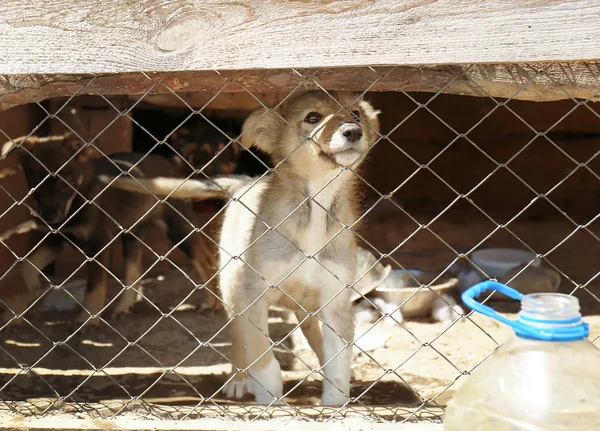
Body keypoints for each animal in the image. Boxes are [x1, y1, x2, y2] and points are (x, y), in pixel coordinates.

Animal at [0, 133, 220, 326]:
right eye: (35, 182)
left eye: (66, 182)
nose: (49, 217)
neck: (78, 200)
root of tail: (168, 164)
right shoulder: (55, 239)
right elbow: (26, 266)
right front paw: (16, 306)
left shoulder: (99, 243)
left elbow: (94, 286)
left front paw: (88, 320)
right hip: (132, 234)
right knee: (134, 271)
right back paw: (124, 306)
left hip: (179, 229)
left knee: (205, 261)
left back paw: (211, 303)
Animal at [98, 91, 380, 404]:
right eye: (313, 117)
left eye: (356, 113)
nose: (353, 131)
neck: (315, 208)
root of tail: (245, 181)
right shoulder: (253, 295)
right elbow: (264, 358)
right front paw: (271, 401)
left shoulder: (336, 302)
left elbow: (338, 366)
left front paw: (333, 405)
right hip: (232, 290)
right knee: (237, 339)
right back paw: (238, 379)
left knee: (312, 335)